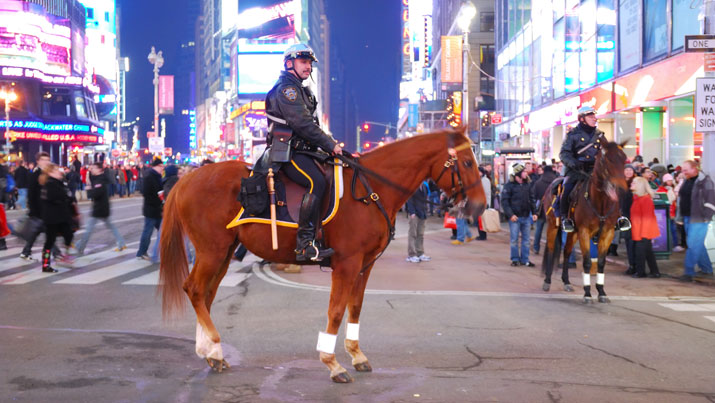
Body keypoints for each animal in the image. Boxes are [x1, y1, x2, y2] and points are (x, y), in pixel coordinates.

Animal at [159, 128, 490, 384]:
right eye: (465, 162)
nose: (480, 206)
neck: (372, 190)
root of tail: (188, 178)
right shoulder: (347, 263)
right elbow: (336, 311)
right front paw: (332, 363)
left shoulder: (365, 265)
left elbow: (355, 308)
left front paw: (356, 354)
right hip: (212, 250)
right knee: (195, 289)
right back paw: (214, 348)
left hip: (224, 251)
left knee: (207, 294)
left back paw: (209, 352)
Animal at [544, 138, 628, 304]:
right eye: (607, 159)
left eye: (624, 159)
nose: (621, 187)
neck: (600, 201)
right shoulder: (584, 231)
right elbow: (588, 261)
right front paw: (588, 293)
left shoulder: (607, 232)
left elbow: (601, 262)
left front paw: (601, 292)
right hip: (552, 226)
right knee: (550, 250)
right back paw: (547, 281)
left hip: (573, 232)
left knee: (566, 251)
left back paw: (566, 282)